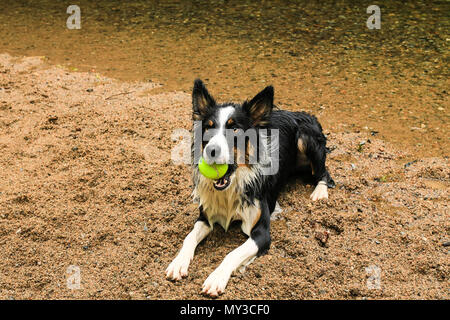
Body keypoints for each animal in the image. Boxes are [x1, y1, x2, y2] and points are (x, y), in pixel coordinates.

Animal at [165, 79, 334, 298]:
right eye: (208, 129)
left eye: (235, 130)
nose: (211, 151)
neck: (232, 186)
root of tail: (305, 113)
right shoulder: (205, 217)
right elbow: (189, 237)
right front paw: (178, 263)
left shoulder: (261, 232)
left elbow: (232, 253)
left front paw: (216, 278)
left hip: (306, 138)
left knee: (324, 172)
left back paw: (320, 192)